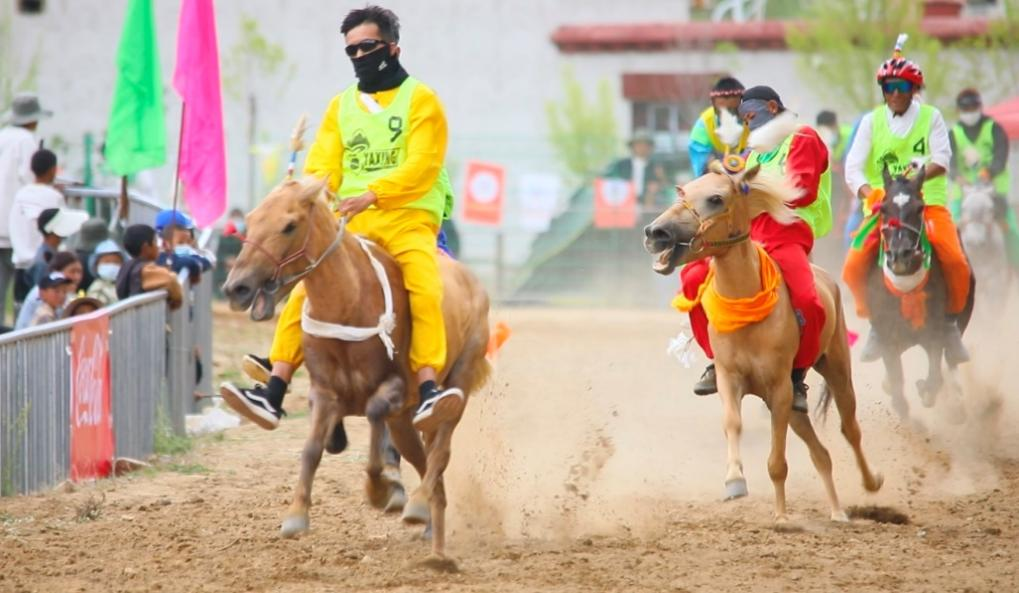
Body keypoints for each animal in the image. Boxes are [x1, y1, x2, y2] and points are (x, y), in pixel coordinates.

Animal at [222, 178, 491, 560]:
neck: (349, 302)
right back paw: (429, 522)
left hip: (458, 384)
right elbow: (311, 449)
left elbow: (375, 423)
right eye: (251, 220)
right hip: (406, 420)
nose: (237, 287)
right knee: (423, 458)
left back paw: (420, 505)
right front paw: (296, 514)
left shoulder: (395, 388)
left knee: (440, 451)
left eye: (289, 225)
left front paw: (380, 490)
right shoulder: (324, 391)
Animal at [643, 161, 882, 522]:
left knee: (850, 428)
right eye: (682, 191)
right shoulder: (731, 380)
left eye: (715, 198)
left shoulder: (780, 388)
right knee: (821, 453)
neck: (747, 312)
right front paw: (734, 481)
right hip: (793, 406)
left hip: (836, 369)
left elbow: (777, 462)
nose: (656, 233)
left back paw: (871, 483)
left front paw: (782, 517)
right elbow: (733, 424)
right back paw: (838, 512)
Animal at [864, 166, 975, 418]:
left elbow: (934, 378)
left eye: (919, 208)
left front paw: (926, 389)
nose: (900, 255)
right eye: (883, 208)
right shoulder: (887, 334)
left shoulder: (934, 331)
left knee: (951, 357)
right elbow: (898, 392)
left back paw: (957, 400)